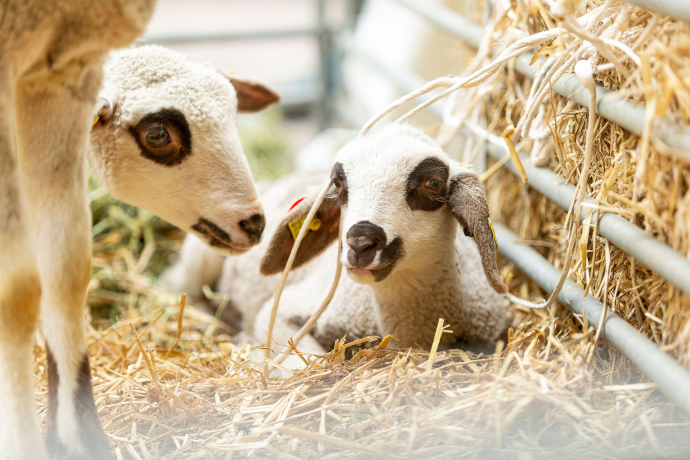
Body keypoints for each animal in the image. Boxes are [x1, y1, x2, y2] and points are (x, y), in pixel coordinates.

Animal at [0, 6, 278, 455]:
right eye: (158, 134)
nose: (253, 225)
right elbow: (16, 291)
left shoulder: (60, 78)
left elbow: (66, 270)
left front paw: (77, 437)